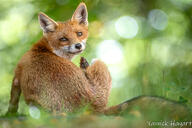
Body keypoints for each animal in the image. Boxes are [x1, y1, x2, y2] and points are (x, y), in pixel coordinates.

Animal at [6, 2, 190, 119]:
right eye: (64, 39)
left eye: (79, 33)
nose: (78, 45)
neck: (44, 49)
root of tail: (91, 110)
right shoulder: (17, 75)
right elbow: (13, 101)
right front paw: (9, 115)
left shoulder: (18, 76)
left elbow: (13, 101)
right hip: (100, 63)